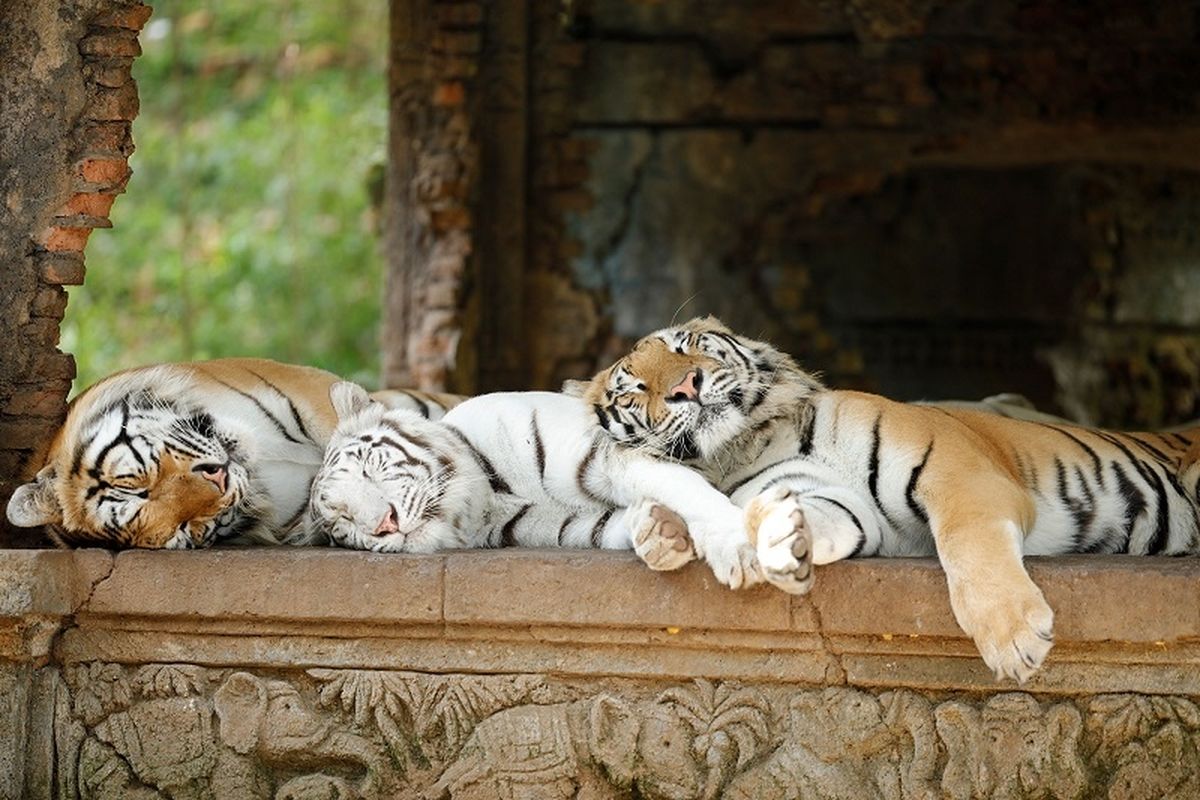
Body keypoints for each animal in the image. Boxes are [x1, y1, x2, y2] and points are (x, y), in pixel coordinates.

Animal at [300, 381, 777, 587]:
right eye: (343, 524)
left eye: (368, 467)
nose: (383, 524)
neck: (491, 496)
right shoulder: (565, 527)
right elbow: (613, 526)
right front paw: (659, 532)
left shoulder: (614, 454)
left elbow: (687, 490)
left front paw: (740, 549)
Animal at [573, 316, 1200, 681]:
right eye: (636, 388)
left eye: (688, 346)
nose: (686, 386)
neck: (749, 437)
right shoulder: (848, 511)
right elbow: (802, 514)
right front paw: (764, 538)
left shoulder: (961, 473)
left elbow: (970, 543)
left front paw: (1014, 638)